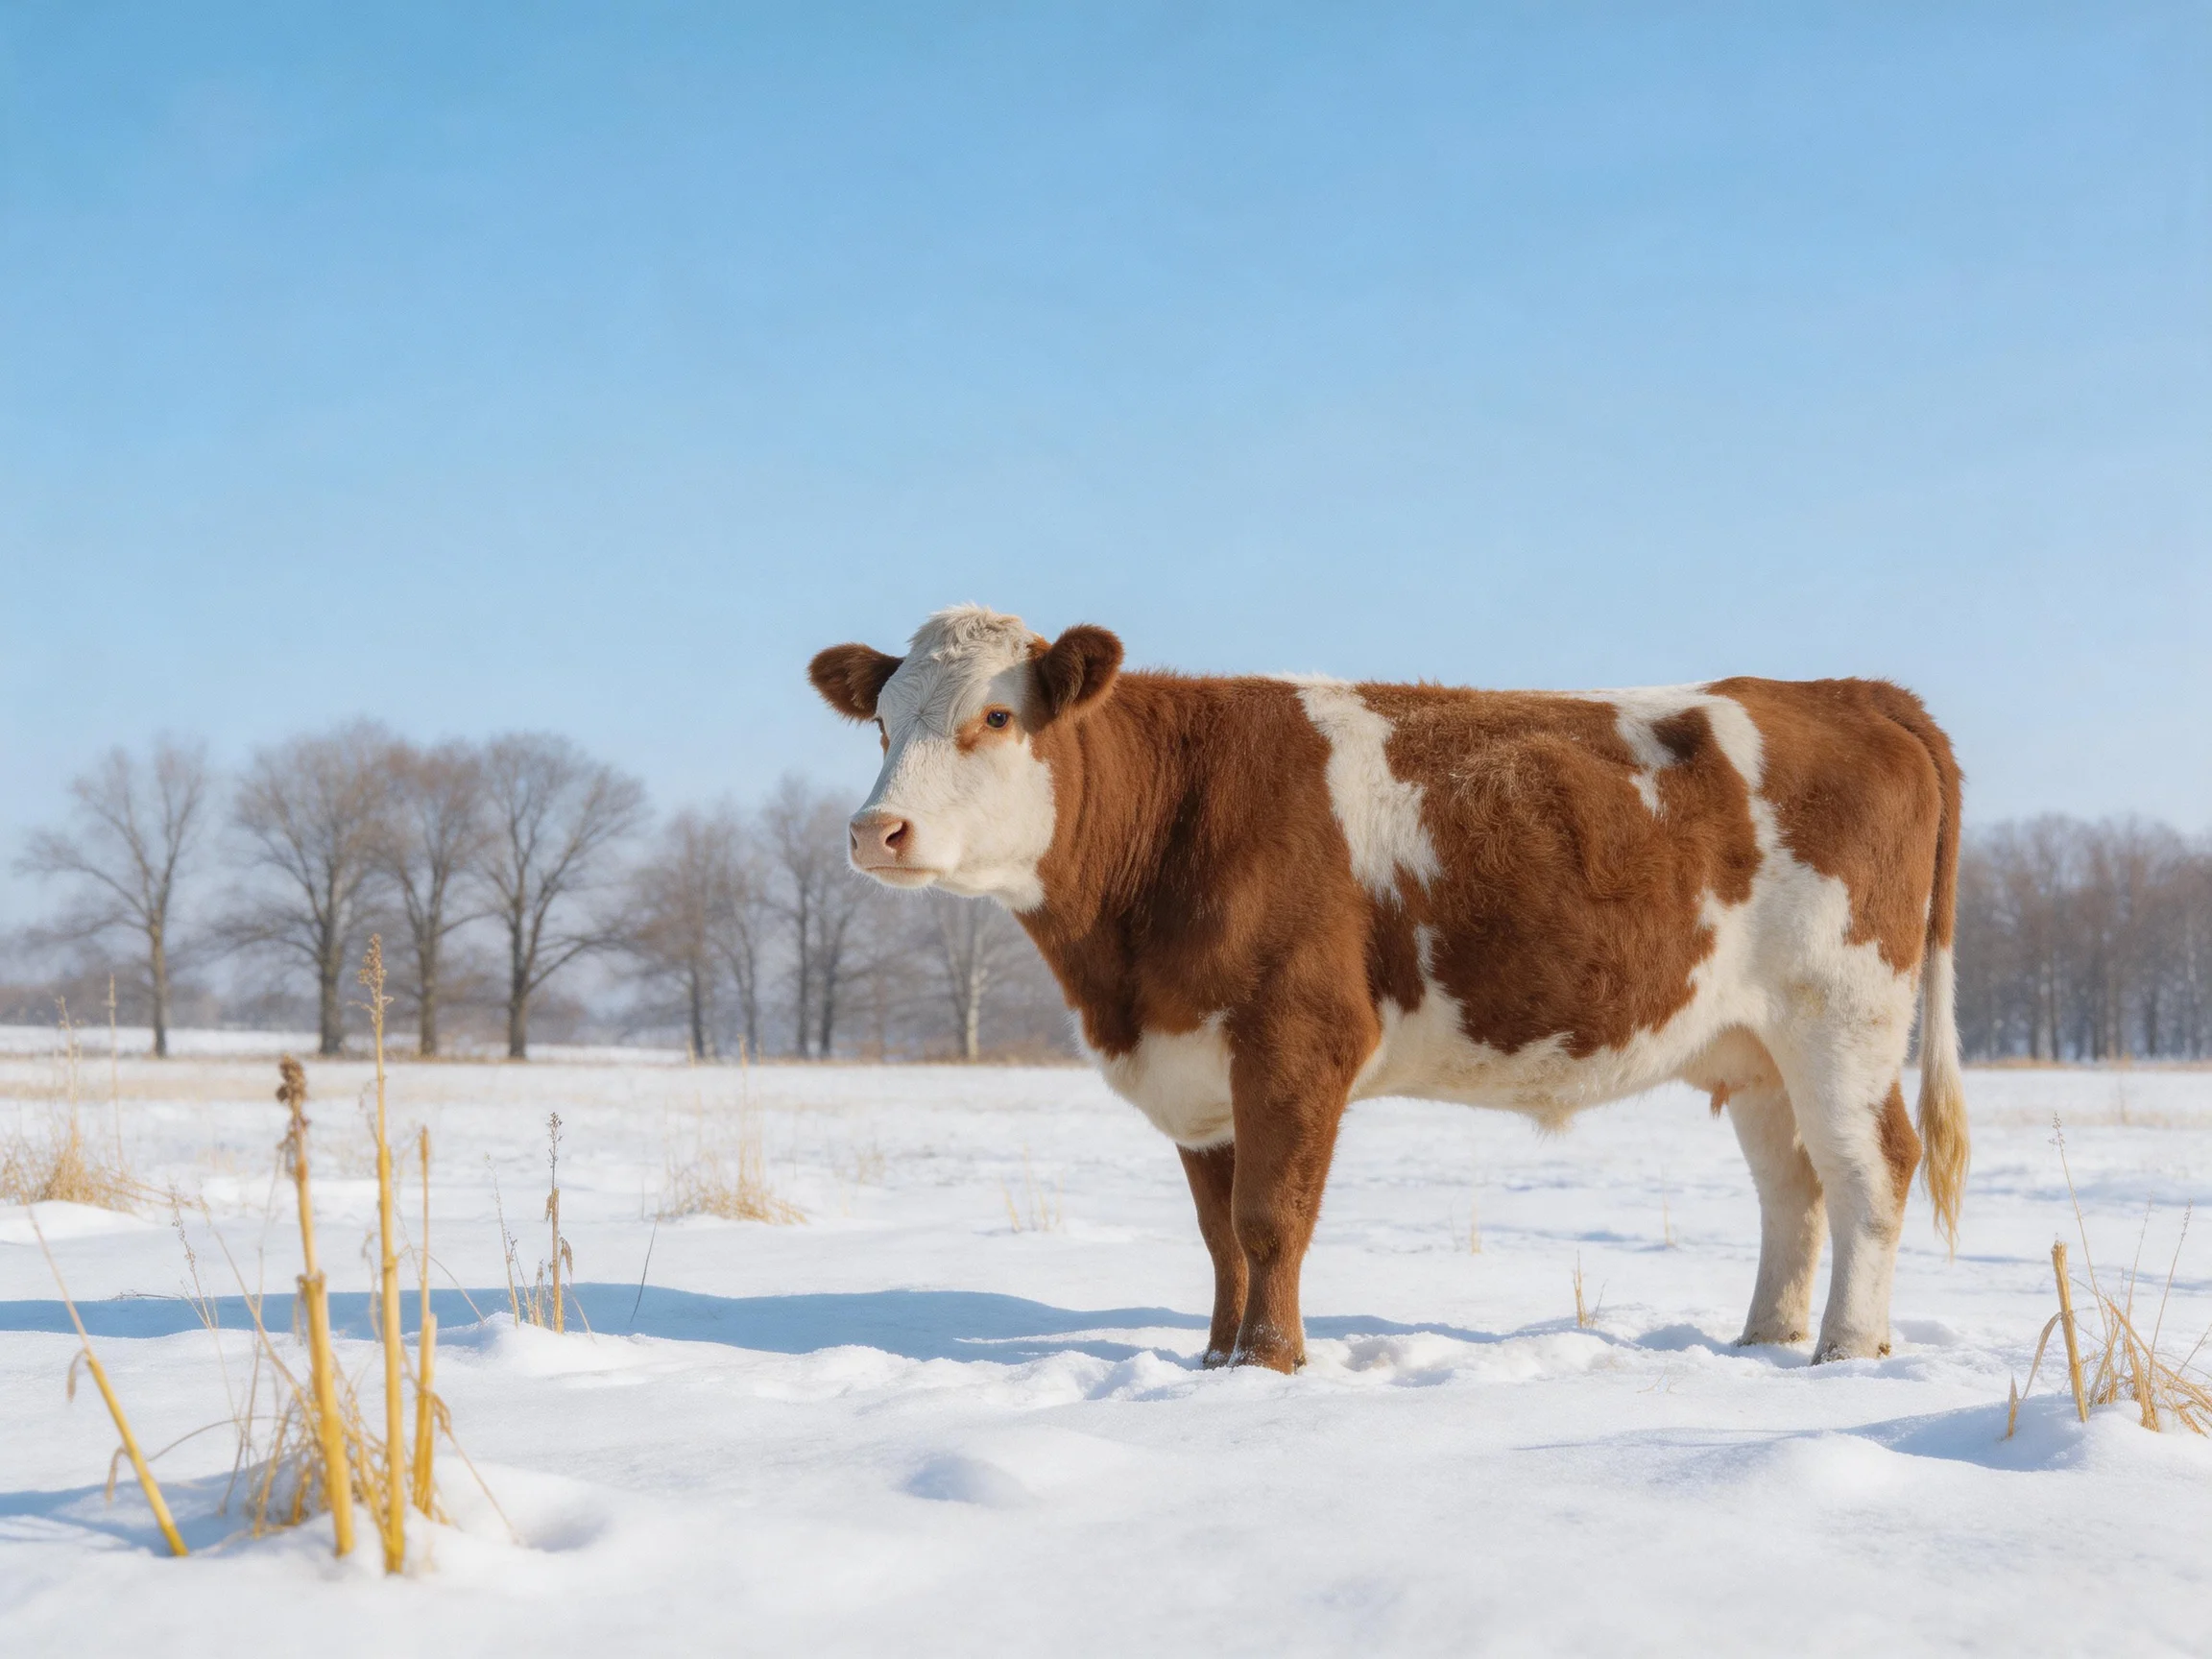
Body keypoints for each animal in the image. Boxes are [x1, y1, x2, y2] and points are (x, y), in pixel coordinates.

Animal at [809, 605, 1968, 1372]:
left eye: (998, 717)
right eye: (883, 724)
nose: (875, 831)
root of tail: (1847, 694)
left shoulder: (1296, 1036)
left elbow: (1271, 1218)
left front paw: (1270, 1367)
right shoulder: (1197, 1067)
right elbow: (1219, 1235)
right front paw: (1213, 1365)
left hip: (1844, 1012)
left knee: (1872, 1169)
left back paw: (1846, 1350)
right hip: (1756, 1045)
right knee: (1793, 1185)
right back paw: (1764, 1339)